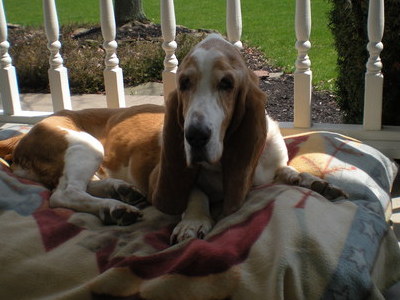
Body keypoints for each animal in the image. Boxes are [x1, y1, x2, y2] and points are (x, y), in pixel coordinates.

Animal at [0, 34, 344, 243]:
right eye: (184, 83)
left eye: (227, 83)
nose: (194, 136)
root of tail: (22, 137)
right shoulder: (161, 177)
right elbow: (195, 191)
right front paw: (194, 221)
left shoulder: (271, 165)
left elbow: (289, 171)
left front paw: (316, 182)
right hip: (85, 144)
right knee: (64, 193)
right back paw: (114, 207)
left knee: (81, 184)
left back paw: (122, 191)